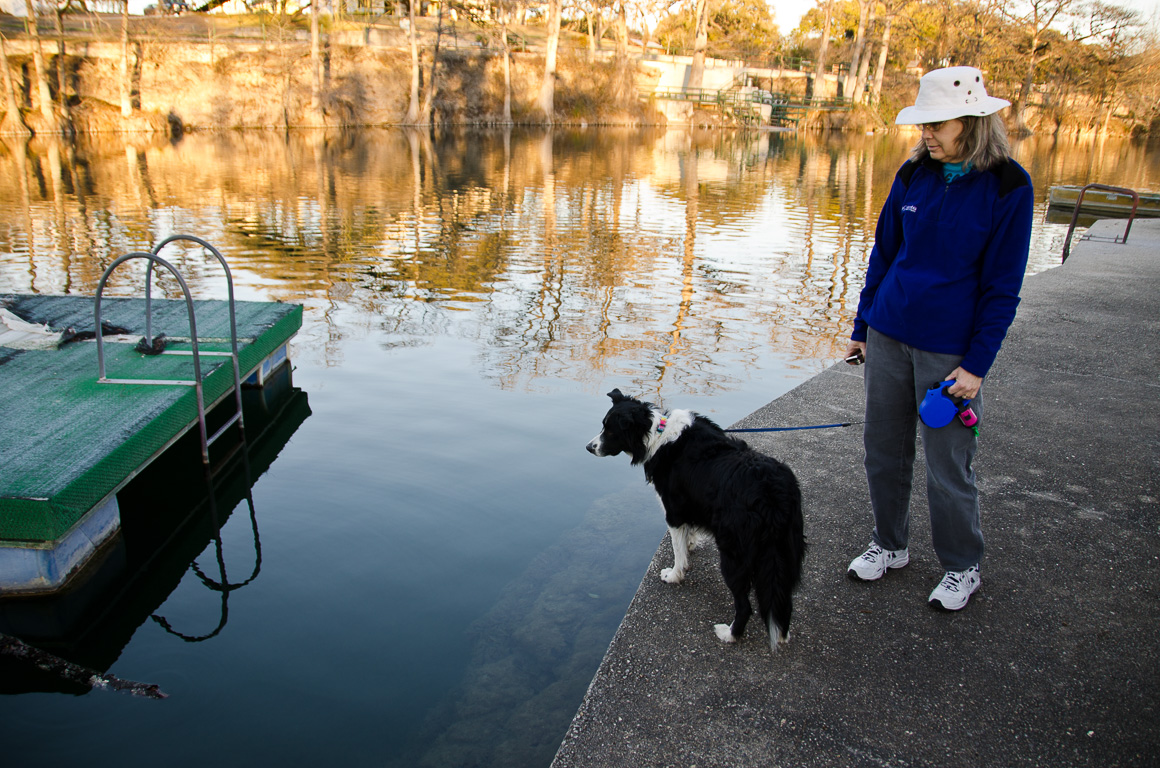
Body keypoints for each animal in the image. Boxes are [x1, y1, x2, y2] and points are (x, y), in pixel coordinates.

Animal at [584, 392, 802, 649]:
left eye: (610, 431)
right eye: (603, 426)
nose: (589, 447)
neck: (656, 434)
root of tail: (773, 493)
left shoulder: (673, 512)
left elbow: (677, 550)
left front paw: (675, 575)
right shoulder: (691, 504)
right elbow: (689, 533)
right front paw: (691, 544)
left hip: (735, 553)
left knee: (745, 605)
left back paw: (729, 634)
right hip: (785, 552)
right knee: (782, 598)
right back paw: (782, 634)